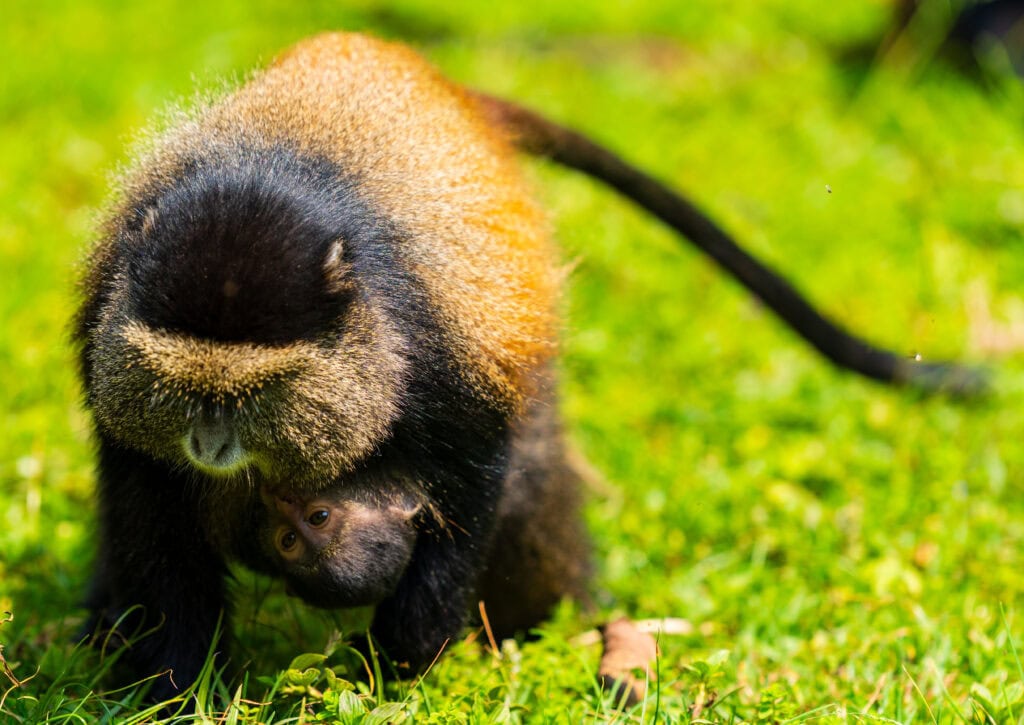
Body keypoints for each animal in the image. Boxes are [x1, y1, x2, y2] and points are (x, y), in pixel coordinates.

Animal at [74, 32, 982, 703]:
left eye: (257, 393)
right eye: (183, 391)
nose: (211, 444)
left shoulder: (445, 361)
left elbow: (474, 481)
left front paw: (397, 666)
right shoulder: (109, 346)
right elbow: (151, 512)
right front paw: (175, 683)